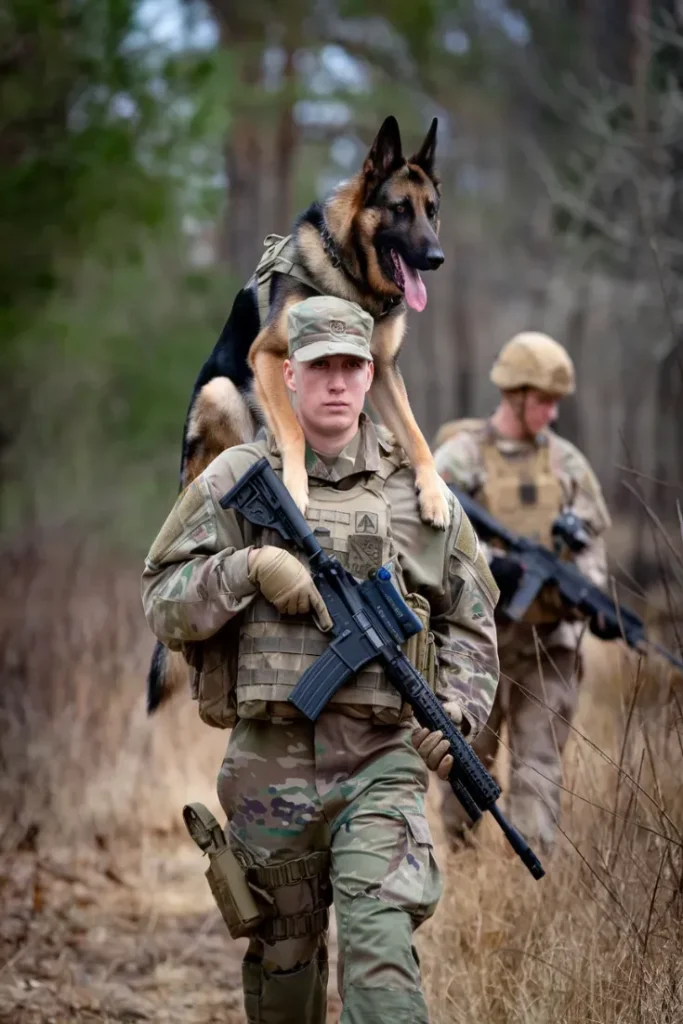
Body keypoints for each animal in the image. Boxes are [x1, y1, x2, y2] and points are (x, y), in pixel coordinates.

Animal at [148, 114, 446, 712]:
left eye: (432, 209)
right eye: (400, 208)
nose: (435, 259)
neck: (352, 277)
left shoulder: (383, 370)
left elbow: (417, 435)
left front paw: (433, 493)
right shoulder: (265, 357)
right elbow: (290, 429)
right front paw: (294, 487)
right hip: (221, 391)